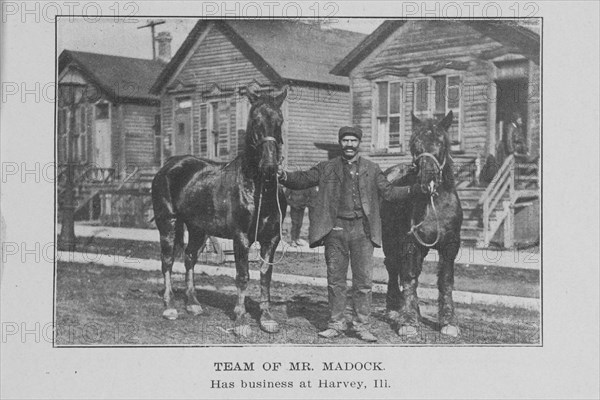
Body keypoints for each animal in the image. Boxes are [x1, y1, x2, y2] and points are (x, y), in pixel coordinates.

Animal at [152, 87, 288, 334]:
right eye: (255, 121)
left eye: (279, 121)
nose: (270, 166)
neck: (257, 188)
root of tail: (168, 166)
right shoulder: (241, 238)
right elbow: (243, 276)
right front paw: (241, 320)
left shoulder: (271, 239)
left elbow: (265, 276)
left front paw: (267, 318)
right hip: (168, 223)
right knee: (167, 261)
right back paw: (170, 307)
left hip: (197, 229)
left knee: (189, 258)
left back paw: (193, 304)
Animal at [382, 110, 462, 338]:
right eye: (415, 144)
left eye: (441, 142)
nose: (428, 181)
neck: (434, 204)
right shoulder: (410, 242)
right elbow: (409, 277)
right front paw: (408, 322)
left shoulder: (451, 245)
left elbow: (445, 280)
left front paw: (448, 322)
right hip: (389, 240)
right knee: (393, 267)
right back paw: (394, 309)